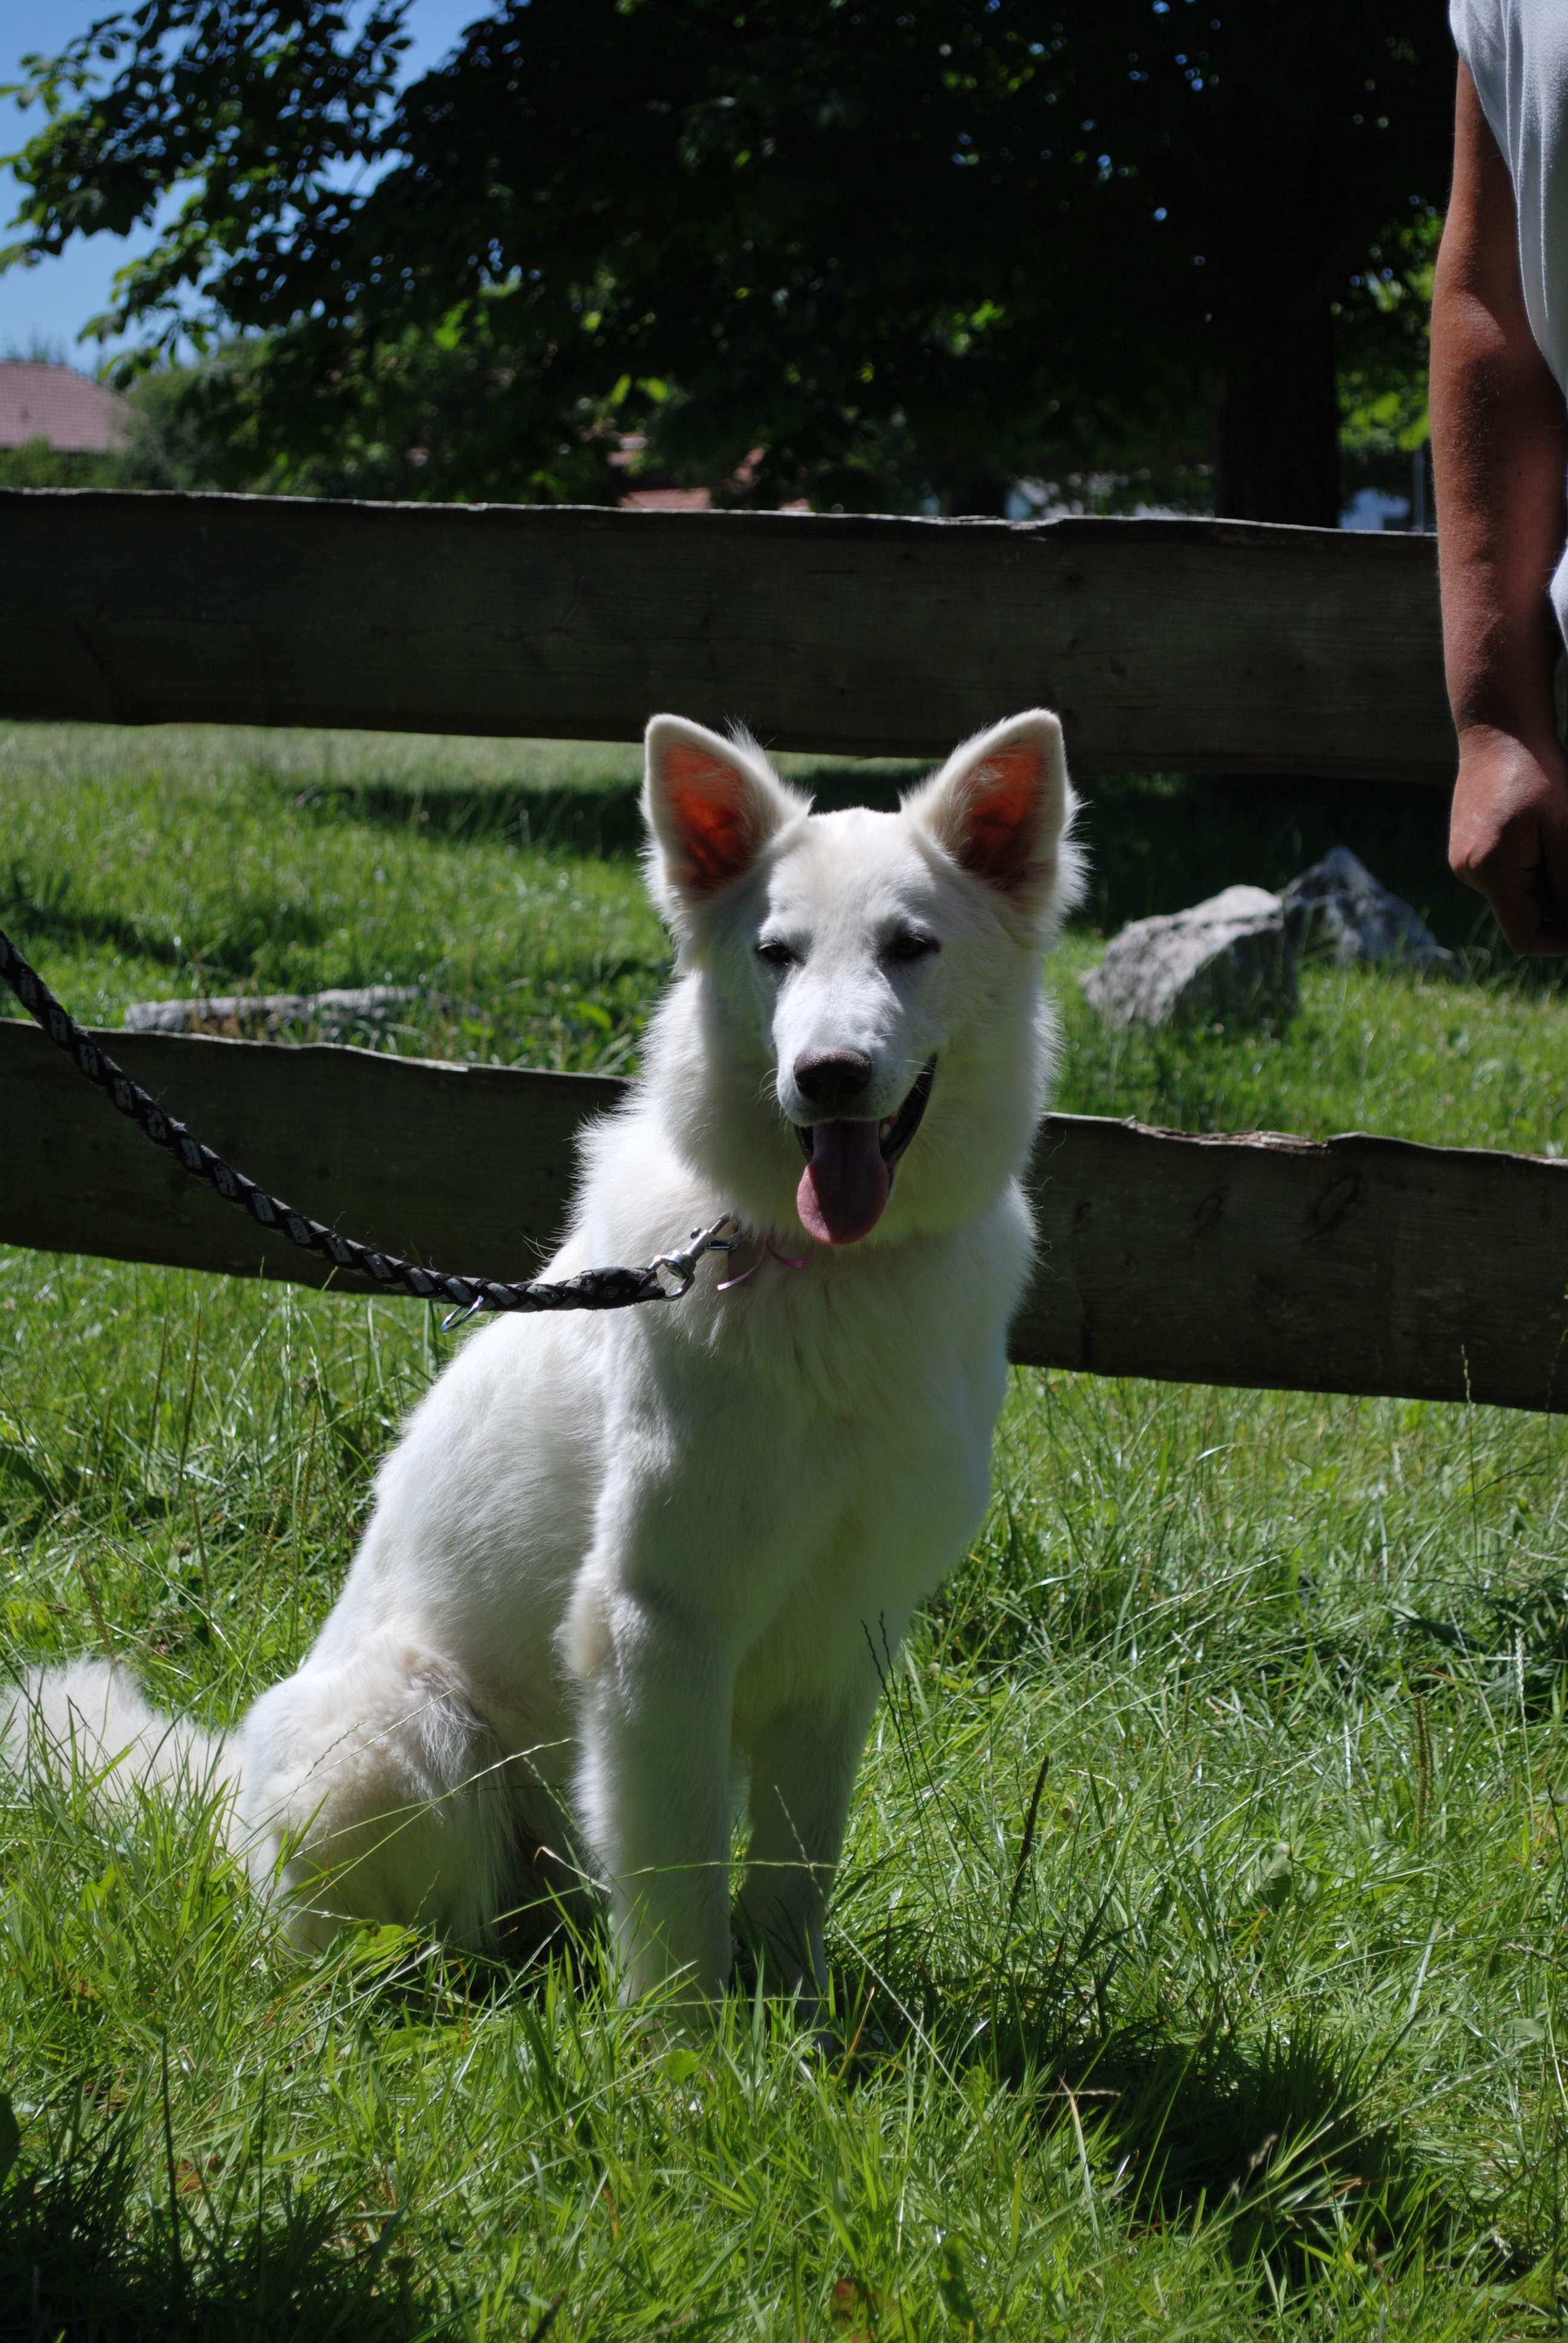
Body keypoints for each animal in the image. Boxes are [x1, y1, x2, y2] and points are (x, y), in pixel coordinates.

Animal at [9, 703, 1078, 2005]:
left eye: (909, 946)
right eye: (775, 952)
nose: (825, 1076)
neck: (823, 1270)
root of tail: (232, 1814)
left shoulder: (842, 1640)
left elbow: (791, 1877)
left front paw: (795, 2025)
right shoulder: (655, 1627)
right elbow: (677, 1885)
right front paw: (683, 2045)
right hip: (401, 1745)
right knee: (366, 1945)